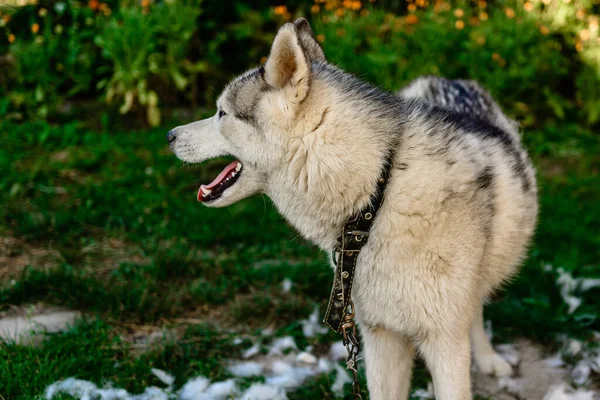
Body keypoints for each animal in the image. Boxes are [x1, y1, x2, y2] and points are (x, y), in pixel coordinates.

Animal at [169, 18, 540, 400]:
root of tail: (446, 79)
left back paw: (488, 357)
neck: (377, 197)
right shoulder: (380, 335)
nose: (169, 135)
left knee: (476, 309)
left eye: (221, 114)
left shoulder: (444, 342)